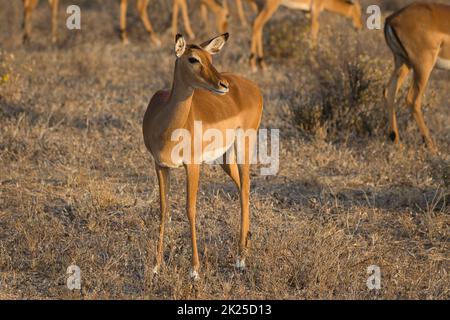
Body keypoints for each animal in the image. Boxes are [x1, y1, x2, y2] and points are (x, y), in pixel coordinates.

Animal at [144, 31, 264, 278]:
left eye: (210, 58)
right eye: (193, 59)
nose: (222, 85)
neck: (165, 124)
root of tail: (253, 87)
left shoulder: (192, 165)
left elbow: (190, 210)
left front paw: (194, 270)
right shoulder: (160, 165)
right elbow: (163, 209)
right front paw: (156, 266)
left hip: (243, 146)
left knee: (245, 189)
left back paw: (240, 259)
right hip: (225, 158)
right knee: (242, 189)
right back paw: (246, 245)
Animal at [384, 1, 450, 153]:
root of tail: (391, 19)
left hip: (402, 61)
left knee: (389, 92)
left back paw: (396, 141)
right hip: (423, 66)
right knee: (412, 99)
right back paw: (432, 147)